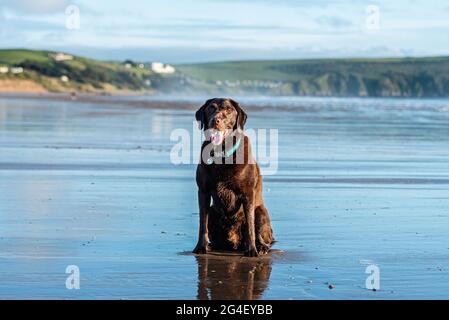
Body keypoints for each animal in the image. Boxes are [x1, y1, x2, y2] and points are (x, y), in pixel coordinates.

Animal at [191, 97, 272, 258]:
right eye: (211, 108)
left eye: (228, 110)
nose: (215, 120)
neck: (222, 154)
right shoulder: (203, 192)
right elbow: (202, 223)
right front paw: (200, 247)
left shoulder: (248, 194)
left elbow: (250, 226)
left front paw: (252, 250)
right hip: (213, 211)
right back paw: (212, 246)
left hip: (261, 212)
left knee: (262, 235)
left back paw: (260, 247)